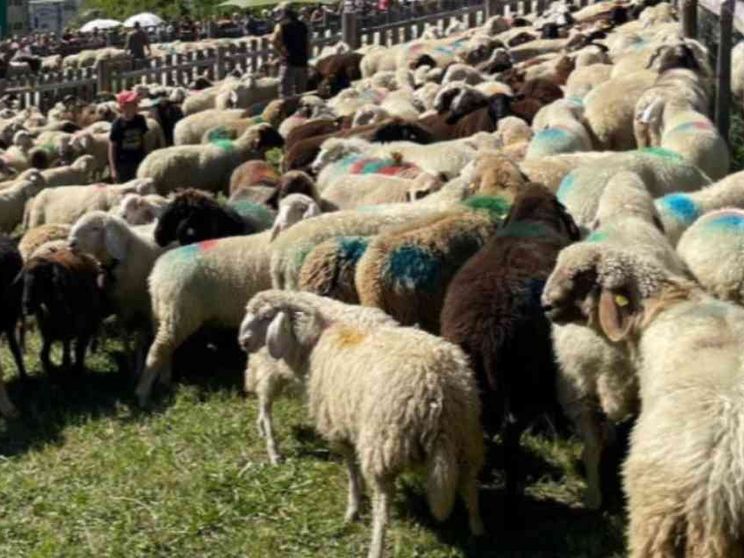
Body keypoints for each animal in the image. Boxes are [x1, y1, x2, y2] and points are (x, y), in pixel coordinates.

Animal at [22, 246, 105, 375]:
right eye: (24, 280)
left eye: (40, 279)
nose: (26, 305)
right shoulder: (48, 324)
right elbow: (45, 350)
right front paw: (51, 366)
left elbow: (76, 345)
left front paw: (73, 365)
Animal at [239, 290, 484, 558]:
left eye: (266, 317)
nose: (243, 342)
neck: (321, 332)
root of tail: (437, 394)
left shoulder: (339, 426)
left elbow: (352, 470)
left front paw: (353, 507)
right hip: (466, 439)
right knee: (470, 487)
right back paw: (477, 531)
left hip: (383, 446)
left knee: (383, 505)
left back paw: (376, 545)